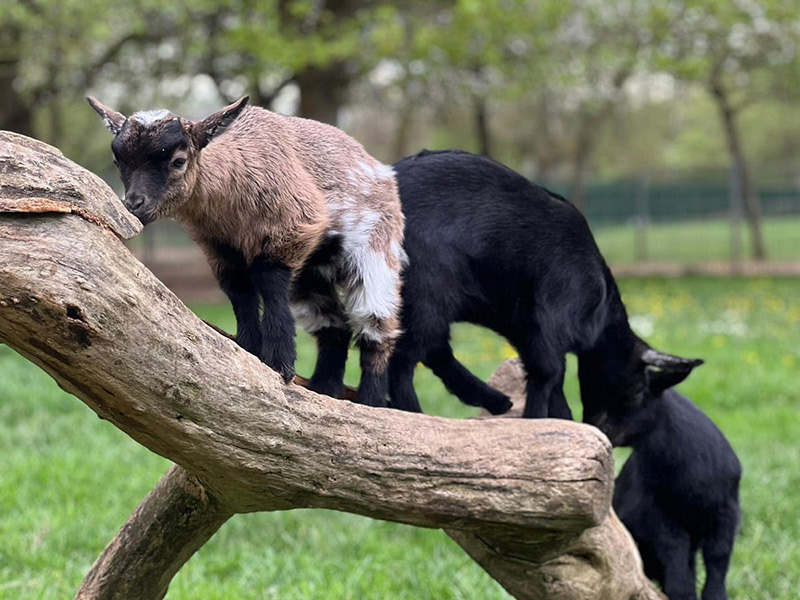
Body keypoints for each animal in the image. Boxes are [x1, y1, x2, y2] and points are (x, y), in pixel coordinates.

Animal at [88, 96, 405, 407]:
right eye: (118, 161)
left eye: (178, 161)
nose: (134, 204)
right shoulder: (220, 249)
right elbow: (240, 293)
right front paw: (248, 349)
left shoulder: (294, 226)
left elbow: (269, 283)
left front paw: (280, 364)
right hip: (312, 272)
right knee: (333, 325)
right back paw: (325, 389)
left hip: (376, 252)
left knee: (376, 330)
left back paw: (370, 401)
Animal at [309, 149, 702, 419]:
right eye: (637, 391)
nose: (607, 431)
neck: (601, 308)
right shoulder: (551, 318)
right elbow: (548, 374)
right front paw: (540, 421)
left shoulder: (528, 329)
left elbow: (551, 377)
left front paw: (560, 418)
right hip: (428, 290)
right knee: (404, 359)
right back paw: (415, 411)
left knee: (433, 351)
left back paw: (492, 400)